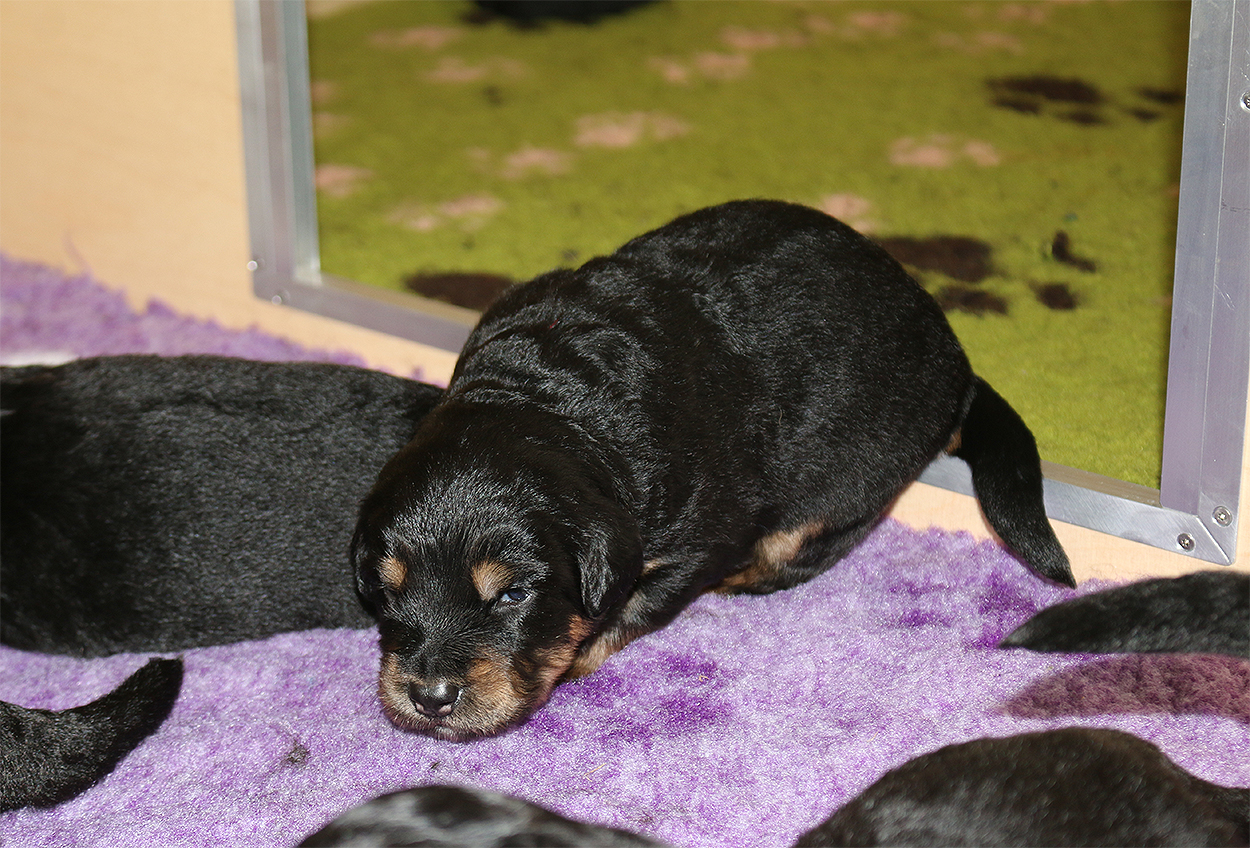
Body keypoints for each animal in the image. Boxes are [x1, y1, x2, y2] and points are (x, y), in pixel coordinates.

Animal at [351, 199, 1072, 740]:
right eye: (386, 591)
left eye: (511, 596)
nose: (430, 697)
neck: (543, 400)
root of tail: (959, 366)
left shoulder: (702, 535)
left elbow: (633, 604)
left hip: (848, 477)